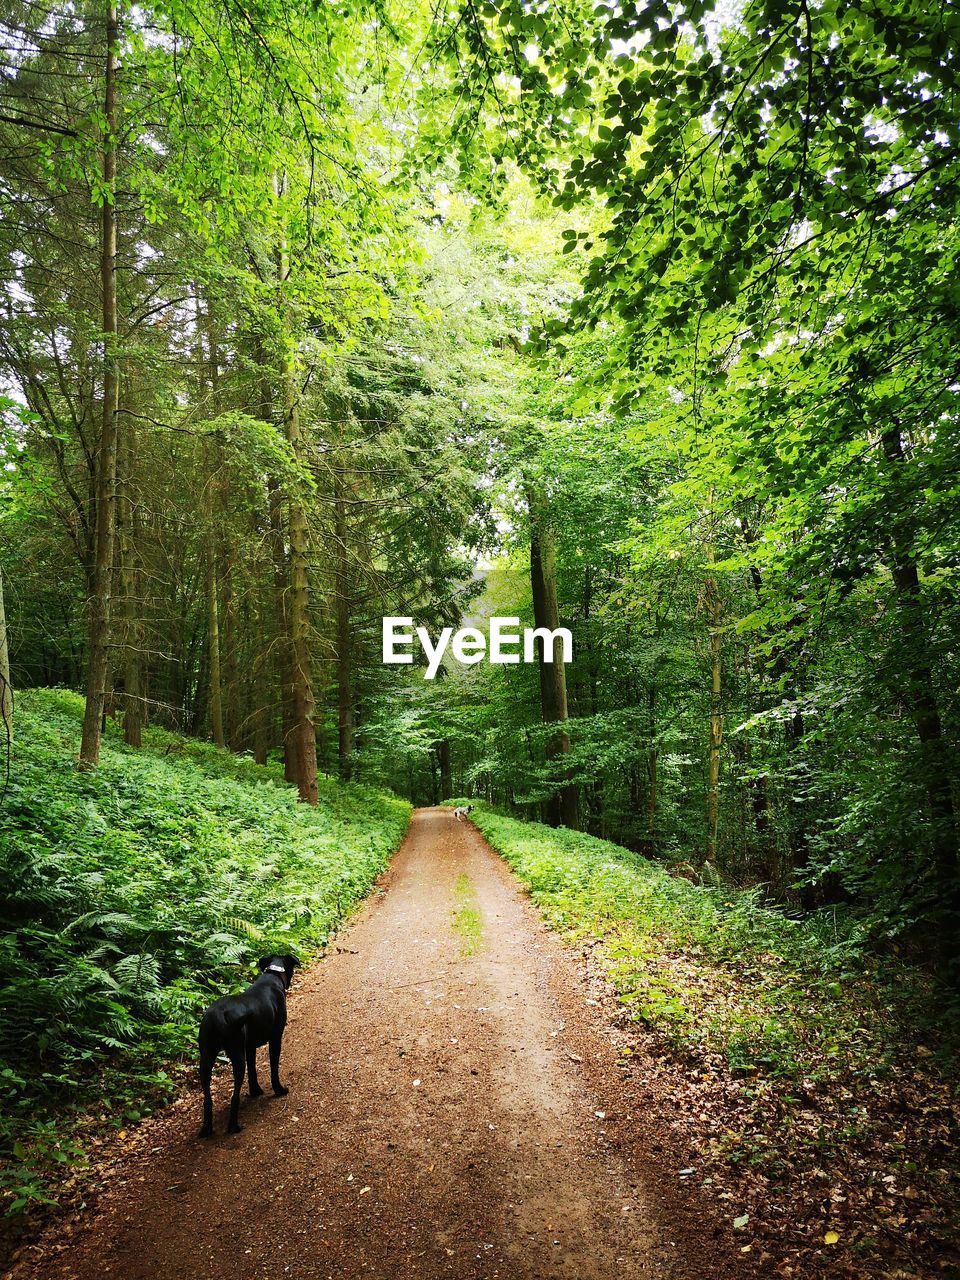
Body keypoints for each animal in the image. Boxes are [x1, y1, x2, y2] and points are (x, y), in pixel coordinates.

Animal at [197, 952, 299, 1141]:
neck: (272, 976)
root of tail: (218, 1016)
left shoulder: (250, 1047)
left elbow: (253, 1071)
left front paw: (255, 1091)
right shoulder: (276, 1039)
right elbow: (274, 1067)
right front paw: (279, 1089)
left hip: (206, 1058)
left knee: (207, 1099)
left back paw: (206, 1129)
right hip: (237, 1055)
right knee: (234, 1096)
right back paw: (233, 1126)